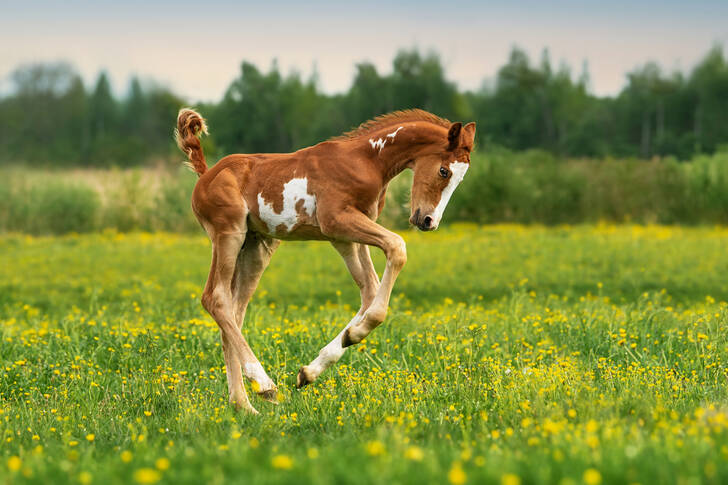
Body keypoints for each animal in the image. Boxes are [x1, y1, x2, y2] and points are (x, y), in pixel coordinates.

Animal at [173, 108, 474, 412]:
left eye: (461, 179)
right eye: (444, 170)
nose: (429, 221)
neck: (367, 161)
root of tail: (206, 174)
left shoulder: (346, 237)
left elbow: (370, 290)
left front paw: (315, 367)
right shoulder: (337, 221)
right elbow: (397, 249)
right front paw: (352, 335)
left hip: (257, 247)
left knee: (234, 314)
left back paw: (245, 405)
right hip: (228, 235)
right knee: (215, 298)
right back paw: (265, 384)